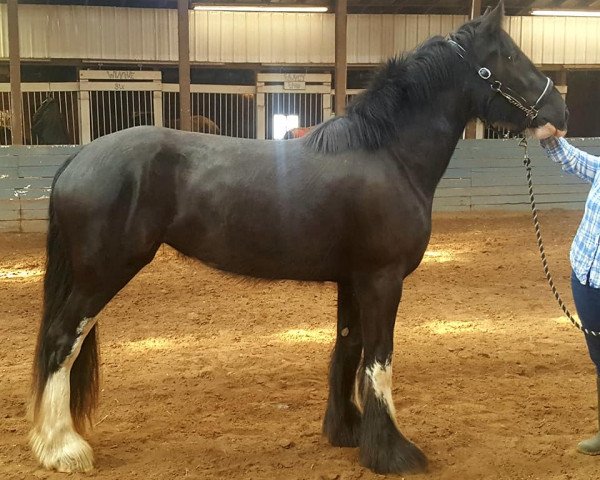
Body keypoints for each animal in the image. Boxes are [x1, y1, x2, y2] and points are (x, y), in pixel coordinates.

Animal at [31, 2, 568, 476]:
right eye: (511, 55)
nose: (559, 110)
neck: (388, 154)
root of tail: (78, 158)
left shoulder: (353, 280)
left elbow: (349, 349)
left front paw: (347, 432)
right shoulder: (383, 279)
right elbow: (380, 359)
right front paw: (392, 453)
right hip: (102, 274)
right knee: (61, 341)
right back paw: (63, 449)